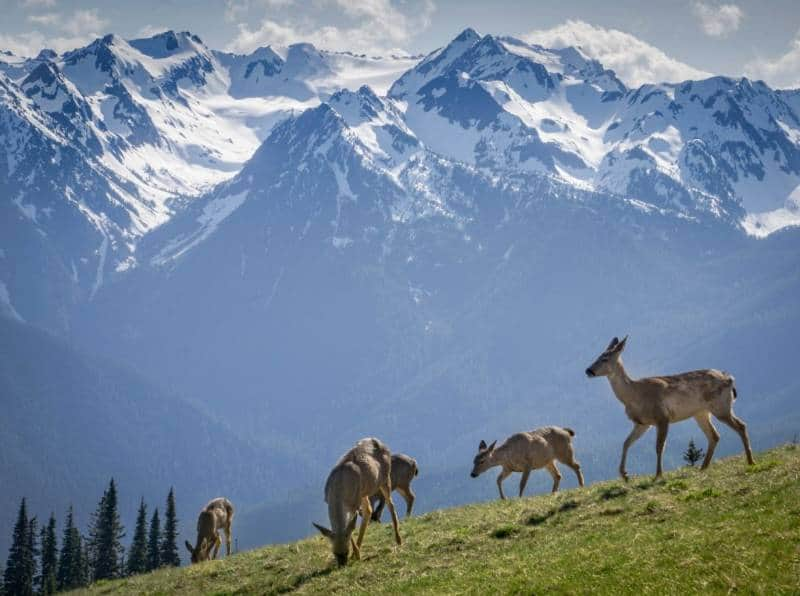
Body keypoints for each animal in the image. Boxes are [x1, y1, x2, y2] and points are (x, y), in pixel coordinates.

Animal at [310, 436, 400, 564]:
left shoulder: (354, 503)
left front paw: (356, 554)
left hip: (384, 478)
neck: (339, 488)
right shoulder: (331, 499)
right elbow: (350, 527)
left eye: (345, 552)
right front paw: (356, 553)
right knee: (369, 510)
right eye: (334, 553)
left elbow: (350, 527)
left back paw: (398, 539)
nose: (342, 564)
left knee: (390, 504)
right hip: (364, 492)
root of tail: (377, 440)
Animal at [584, 338, 752, 482]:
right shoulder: (642, 423)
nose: (588, 370)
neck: (634, 395)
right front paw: (624, 474)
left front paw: (658, 474)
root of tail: (729, 379)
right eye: (598, 356)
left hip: (721, 406)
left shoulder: (662, 417)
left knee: (740, 426)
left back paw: (750, 461)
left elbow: (659, 447)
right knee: (714, 435)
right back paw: (703, 468)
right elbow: (626, 443)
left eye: (605, 358)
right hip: (701, 413)